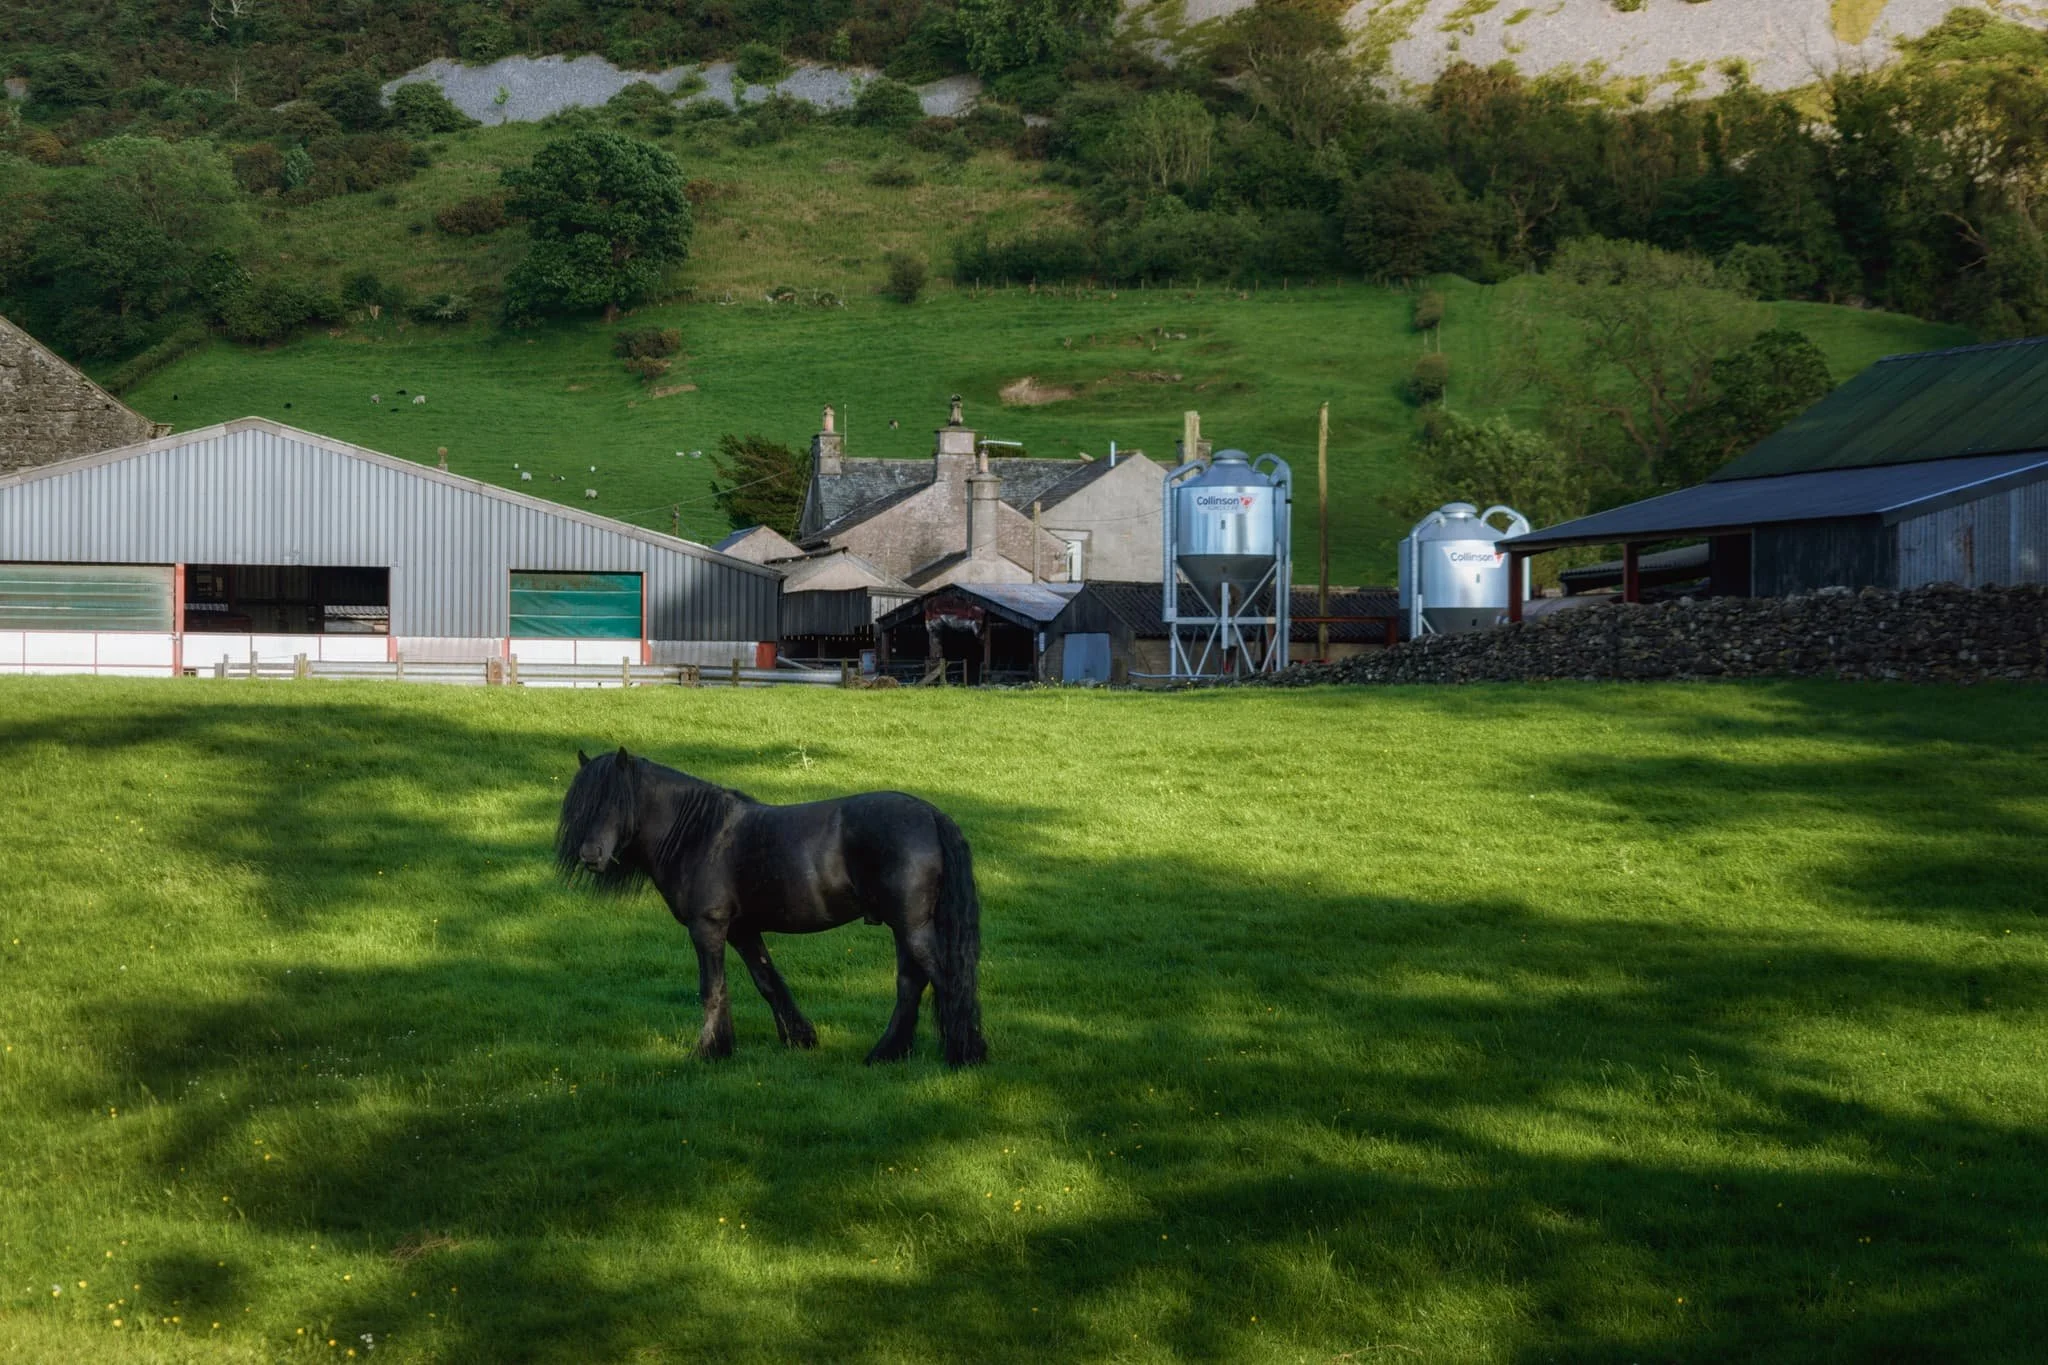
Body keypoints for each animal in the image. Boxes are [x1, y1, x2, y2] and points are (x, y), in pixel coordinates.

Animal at [555, 748, 988, 1067]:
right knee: (910, 984)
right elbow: (767, 982)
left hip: (911, 926)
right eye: (582, 805)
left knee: (945, 979)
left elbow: (712, 988)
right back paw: (886, 1054)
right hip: (904, 927)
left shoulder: (707, 927)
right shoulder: (742, 930)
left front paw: (707, 1051)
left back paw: (964, 1055)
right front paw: (797, 1038)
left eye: (618, 801)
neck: (700, 834)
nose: (591, 855)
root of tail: (929, 814)